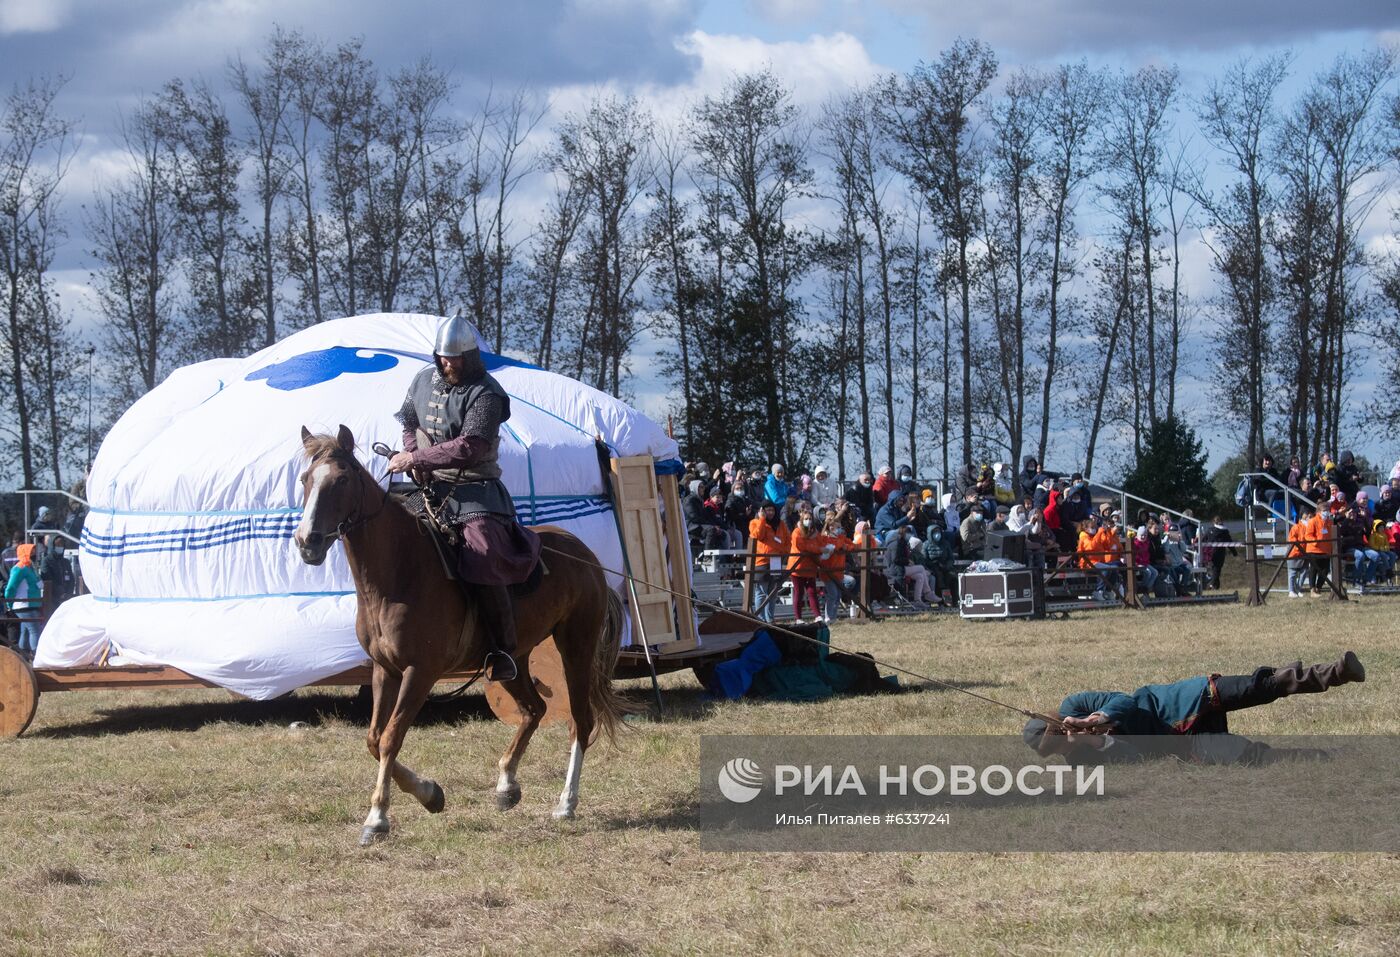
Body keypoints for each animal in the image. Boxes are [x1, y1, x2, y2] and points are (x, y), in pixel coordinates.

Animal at [292, 425, 627, 845]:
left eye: (341, 480)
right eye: (306, 479)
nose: (307, 543)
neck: (399, 572)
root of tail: (587, 557)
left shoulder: (420, 673)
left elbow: (390, 737)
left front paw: (377, 818)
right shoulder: (384, 670)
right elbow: (374, 738)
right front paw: (429, 794)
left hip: (576, 647)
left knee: (580, 720)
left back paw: (566, 804)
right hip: (513, 661)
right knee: (534, 709)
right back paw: (507, 785)